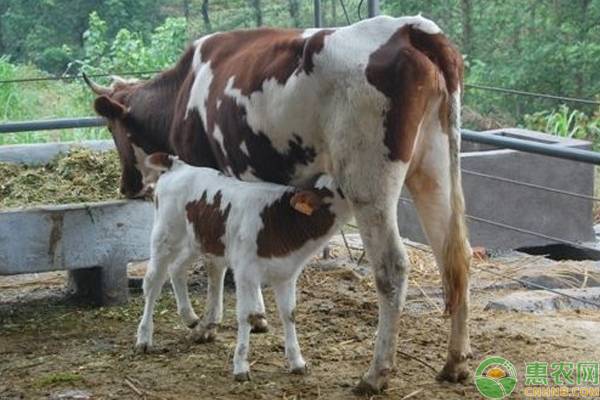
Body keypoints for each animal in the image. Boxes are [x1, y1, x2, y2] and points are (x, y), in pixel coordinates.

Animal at [136, 152, 352, 380]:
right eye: (342, 188)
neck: (280, 221)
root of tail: (178, 164)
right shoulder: (246, 273)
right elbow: (246, 315)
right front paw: (240, 366)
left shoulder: (286, 273)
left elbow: (289, 314)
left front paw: (297, 362)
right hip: (165, 236)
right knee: (153, 283)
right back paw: (144, 338)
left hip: (196, 240)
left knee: (177, 268)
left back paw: (190, 317)